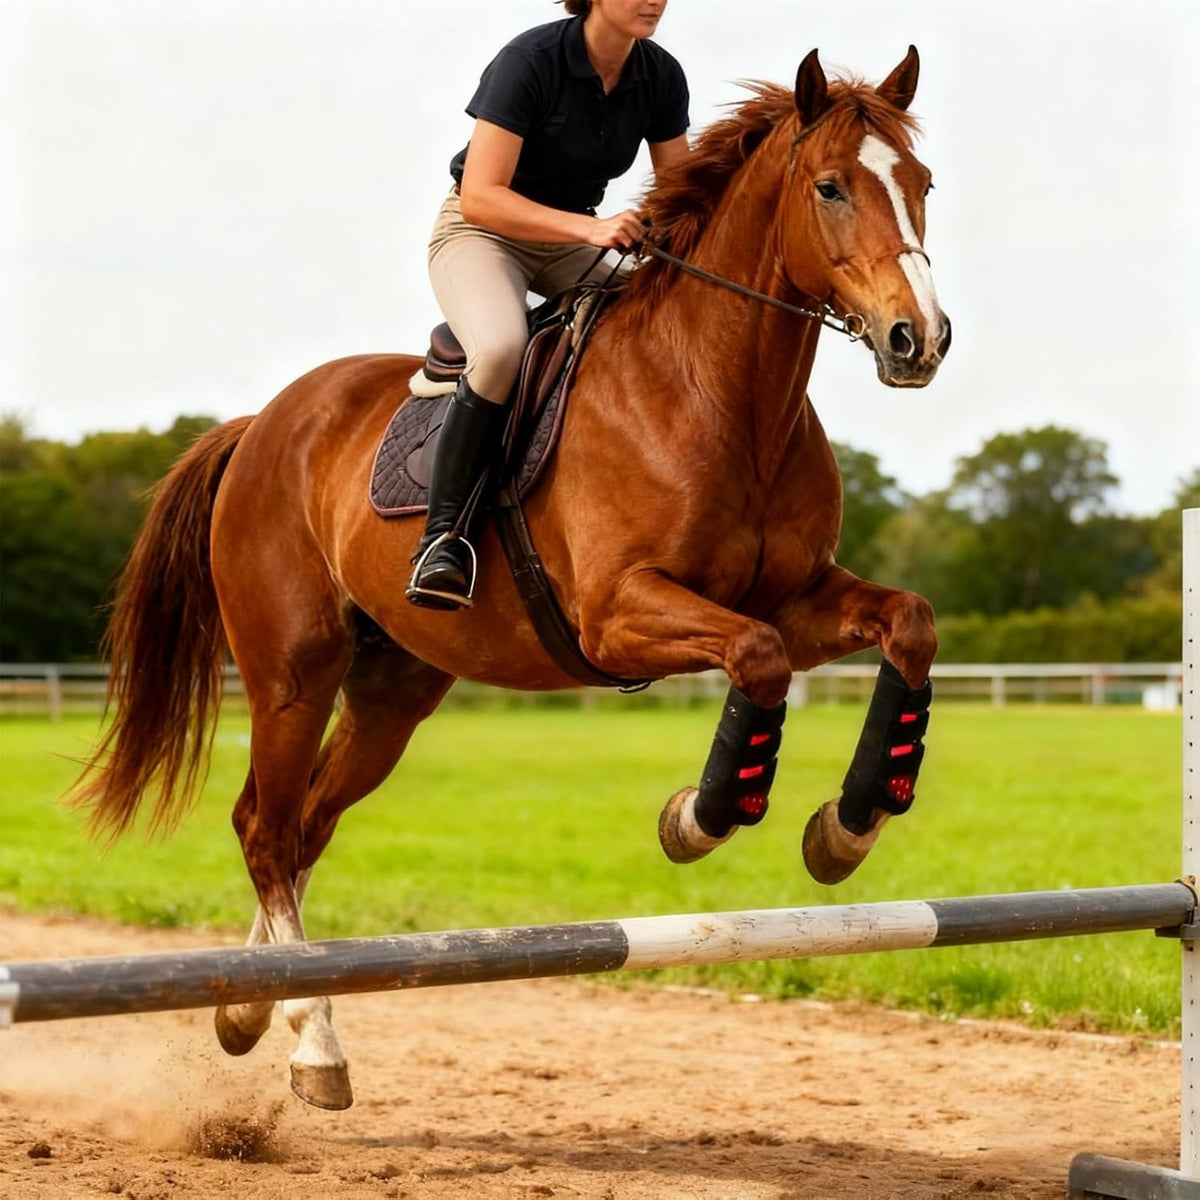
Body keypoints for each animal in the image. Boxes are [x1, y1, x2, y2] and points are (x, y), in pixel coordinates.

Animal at [71, 47, 950, 1111]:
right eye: (830, 187)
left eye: (922, 185)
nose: (919, 340)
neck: (721, 392)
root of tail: (262, 425)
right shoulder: (622, 614)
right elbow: (760, 658)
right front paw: (696, 821)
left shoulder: (801, 594)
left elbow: (907, 623)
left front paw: (845, 830)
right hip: (291, 673)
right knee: (266, 829)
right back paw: (313, 1040)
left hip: (393, 692)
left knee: (306, 824)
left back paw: (249, 1010)